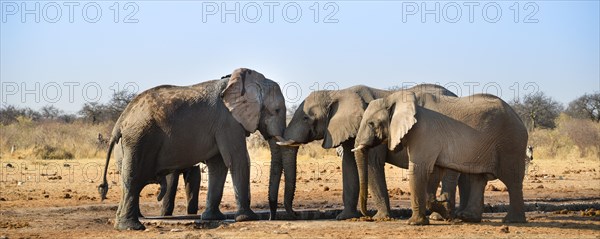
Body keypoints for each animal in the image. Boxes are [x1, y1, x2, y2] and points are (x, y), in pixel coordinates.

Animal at [97, 67, 288, 230]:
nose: (271, 217)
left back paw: (126, 223)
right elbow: (237, 159)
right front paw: (248, 218)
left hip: (127, 145)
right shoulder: (228, 122)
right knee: (133, 179)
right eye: (277, 110)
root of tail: (120, 121)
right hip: (138, 138)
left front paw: (213, 218)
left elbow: (218, 165)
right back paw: (132, 227)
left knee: (129, 181)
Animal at [278, 84, 460, 220]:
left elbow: (373, 164)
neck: (339, 93)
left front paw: (381, 218)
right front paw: (345, 217)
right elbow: (349, 165)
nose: (295, 214)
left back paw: (439, 216)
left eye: (306, 118)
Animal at [354, 91, 528, 224]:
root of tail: (519, 117)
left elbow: (419, 170)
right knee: (478, 178)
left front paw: (415, 223)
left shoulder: (423, 131)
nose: (367, 215)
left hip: (511, 143)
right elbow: (434, 172)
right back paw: (467, 218)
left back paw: (512, 221)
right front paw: (445, 210)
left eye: (371, 124)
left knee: (512, 180)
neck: (396, 98)